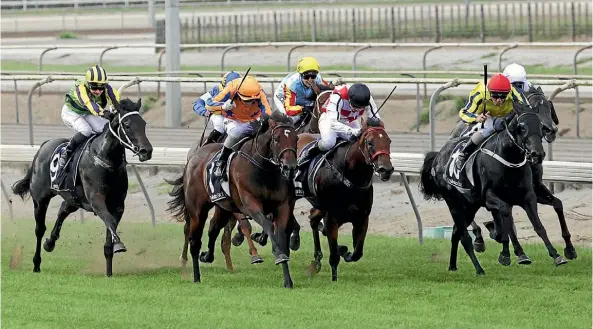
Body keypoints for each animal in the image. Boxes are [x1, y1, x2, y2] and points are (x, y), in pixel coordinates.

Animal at [11, 98, 153, 276]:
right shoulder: (96, 200)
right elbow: (109, 221)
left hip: (73, 198)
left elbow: (110, 230)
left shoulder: (118, 205)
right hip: (40, 199)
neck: (106, 160)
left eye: (144, 124)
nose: (146, 151)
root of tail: (43, 145)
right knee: (39, 229)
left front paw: (109, 272)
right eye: (127, 125)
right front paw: (119, 245)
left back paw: (50, 243)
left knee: (62, 210)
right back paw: (36, 264)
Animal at [164, 111, 298, 286]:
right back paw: (196, 276)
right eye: (277, 139)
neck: (264, 170)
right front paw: (276, 255)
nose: (290, 167)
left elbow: (281, 234)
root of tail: (194, 155)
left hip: (223, 207)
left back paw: (207, 256)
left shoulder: (282, 206)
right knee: (194, 240)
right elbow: (266, 225)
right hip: (197, 210)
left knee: (213, 227)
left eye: (296, 138)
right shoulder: (250, 205)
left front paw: (287, 279)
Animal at [300, 116, 394, 280]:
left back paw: (317, 260)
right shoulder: (332, 218)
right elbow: (334, 257)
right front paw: (334, 279)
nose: (386, 170)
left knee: (312, 218)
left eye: (388, 141)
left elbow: (357, 252)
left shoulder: (362, 218)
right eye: (370, 143)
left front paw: (346, 251)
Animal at [418, 102, 568, 274]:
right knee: (464, 236)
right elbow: (505, 216)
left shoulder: (528, 196)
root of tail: (438, 155)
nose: (537, 154)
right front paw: (505, 254)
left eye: (540, 126)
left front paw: (558, 255)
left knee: (456, 233)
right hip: (454, 203)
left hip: (470, 205)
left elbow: (538, 226)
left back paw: (453, 265)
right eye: (522, 127)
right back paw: (478, 268)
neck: (508, 159)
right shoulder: (490, 198)